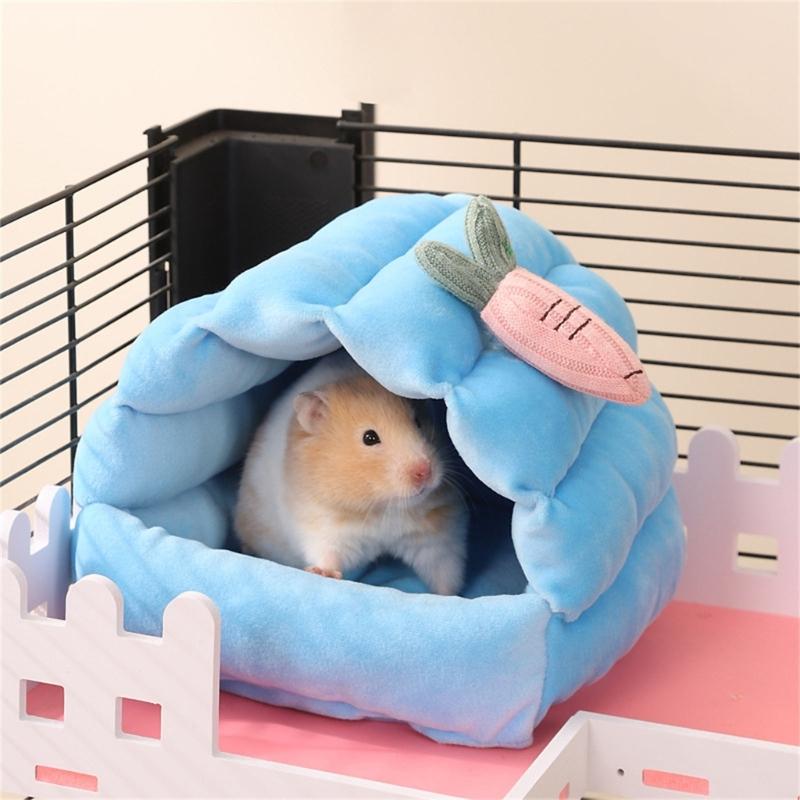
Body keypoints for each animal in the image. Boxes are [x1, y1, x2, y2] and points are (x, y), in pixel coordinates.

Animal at [234, 351, 469, 595]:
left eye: (418, 422)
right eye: (369, 437)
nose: (425, 471)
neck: (384, 507)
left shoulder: (436, 534)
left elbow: (443, 569)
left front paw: (449, 597)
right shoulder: (324, 524)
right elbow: (328, 554)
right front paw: (323, 573)